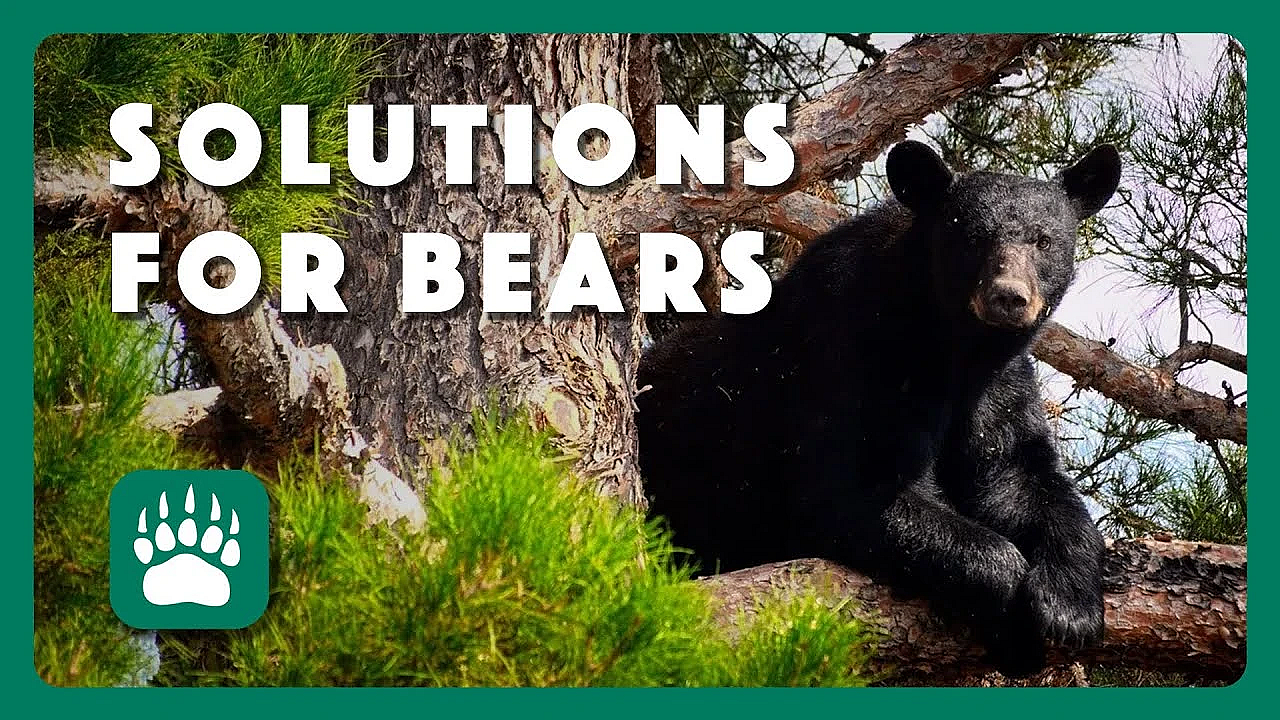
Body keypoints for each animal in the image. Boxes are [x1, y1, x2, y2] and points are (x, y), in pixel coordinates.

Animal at [635, 140, 1121, 674]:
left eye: (1044, 241)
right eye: (972, 238)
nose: (1009, 297)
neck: (952, 344)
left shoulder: (996, 384)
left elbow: (1016, 476)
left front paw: (1068, 606)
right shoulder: (853, 353)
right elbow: (851, 486)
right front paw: (1013, 619)